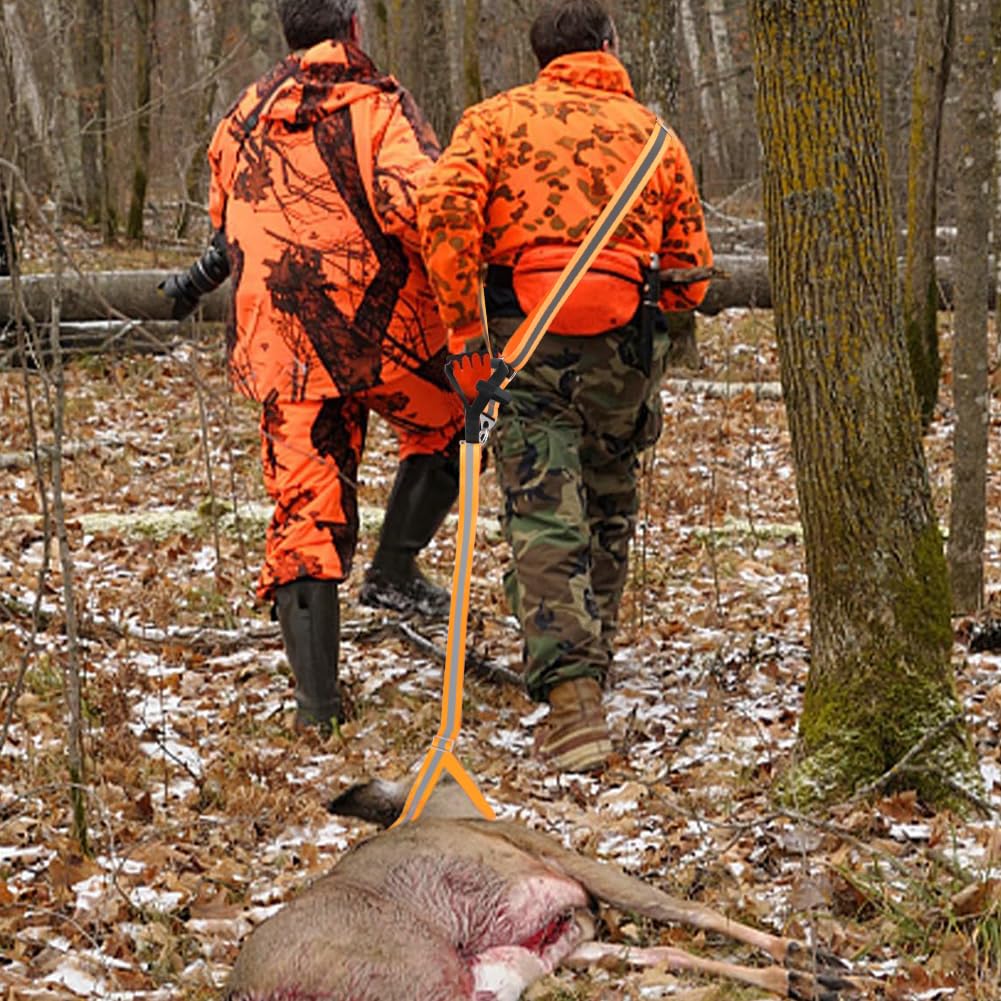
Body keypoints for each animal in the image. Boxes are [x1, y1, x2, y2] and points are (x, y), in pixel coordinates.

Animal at [225, 776, 870, 1001]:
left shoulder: (561, 939)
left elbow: (671, 943)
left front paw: (807, 970)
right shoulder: (566, 868)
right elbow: (685, 915)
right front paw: (811, 961)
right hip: (416, 975)